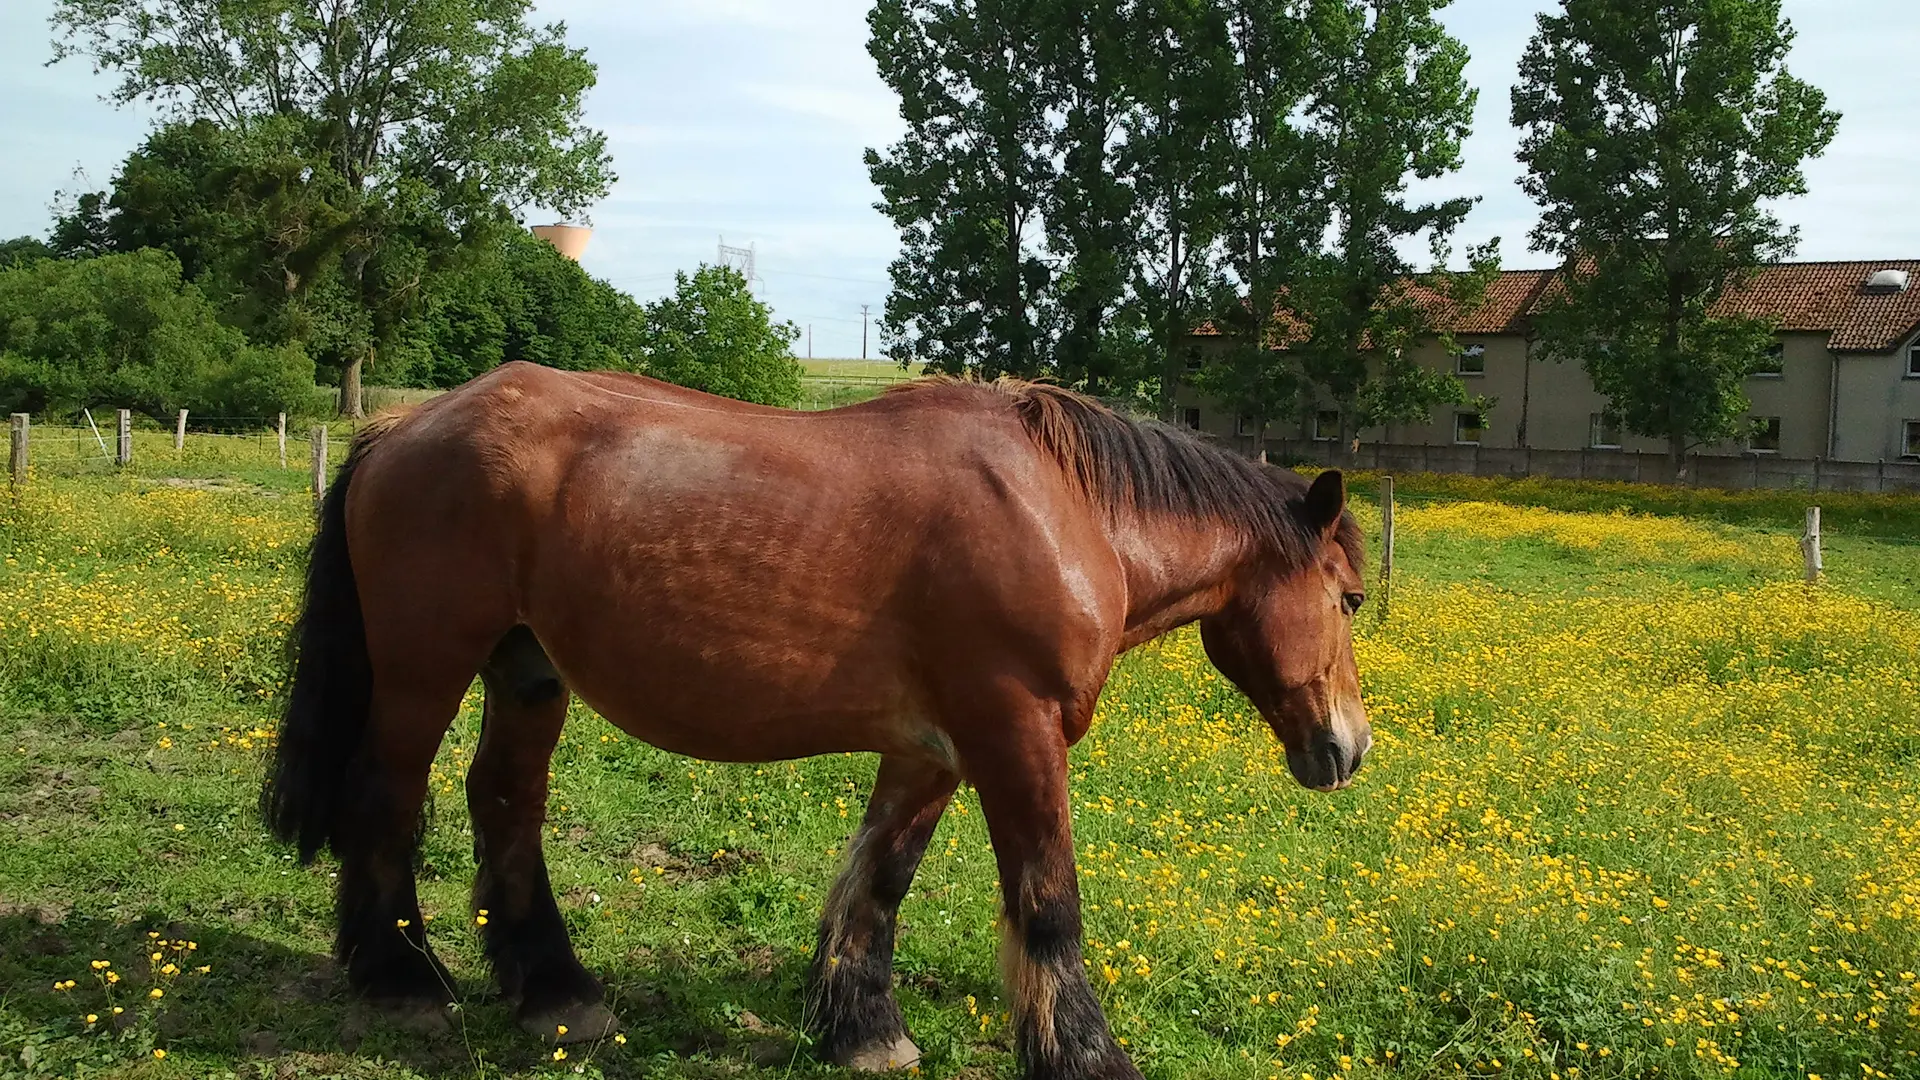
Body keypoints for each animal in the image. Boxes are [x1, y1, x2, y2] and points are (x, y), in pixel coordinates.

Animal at [259, 363, 1367, 1076]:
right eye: (1351, 599)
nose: (1346, 747)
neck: (1063, 511)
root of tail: (399, 430)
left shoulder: (931, 751)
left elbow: (877, 884)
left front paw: (862, 1028)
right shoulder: (1015, 734)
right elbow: (1049, 904)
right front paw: (1085, 1055)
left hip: (528, 672)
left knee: (505, 803)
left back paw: (555, 991)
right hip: (423, 669)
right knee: (389, 797)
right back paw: (402, 978)